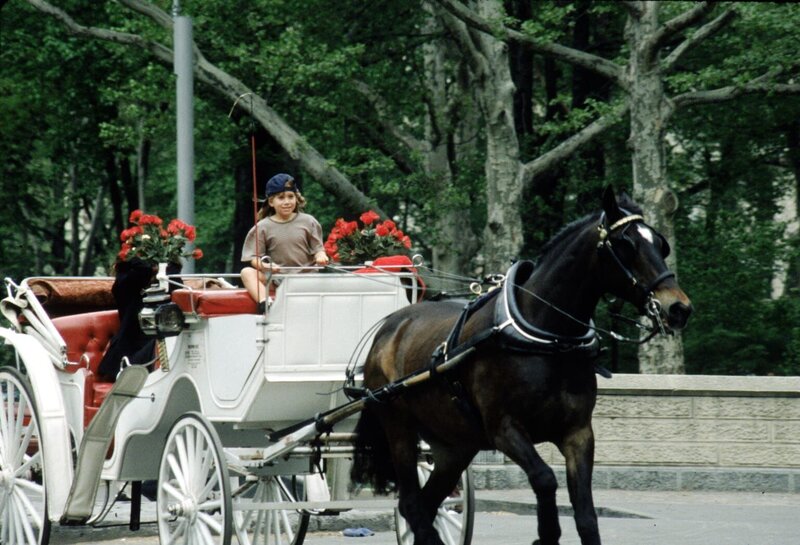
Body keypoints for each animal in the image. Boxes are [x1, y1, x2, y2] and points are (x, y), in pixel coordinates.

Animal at [349, 186, 692, 545]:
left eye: (661, 244)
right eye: (626, 245)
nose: (678, 307)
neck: (549, 339)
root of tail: (390, 326)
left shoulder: (578, 432)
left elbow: (586, 515)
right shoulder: (505, 428)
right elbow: (545, 479)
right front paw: (546, 533)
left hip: (454, 444)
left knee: (428, 504)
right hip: (398, 427)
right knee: (411, 503)